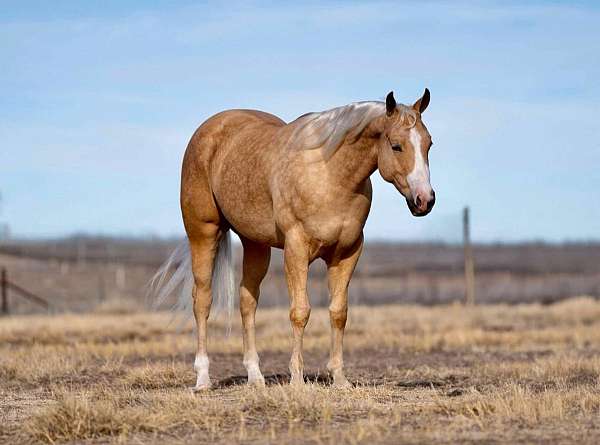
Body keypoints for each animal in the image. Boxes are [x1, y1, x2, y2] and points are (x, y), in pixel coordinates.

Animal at [155, 89, 436, 388]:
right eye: (396, 146)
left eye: (429, 144)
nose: (425, 200)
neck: (329, 174)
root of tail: (209, 129)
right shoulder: (296, 249)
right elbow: (300, 312)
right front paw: (297, 379)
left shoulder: (347, 253)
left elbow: (339, 312)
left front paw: (339, 378)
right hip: (203, 232)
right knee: (202, 300)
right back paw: (203, 378)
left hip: (255, 244)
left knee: (247, 301)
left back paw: (255, 376)